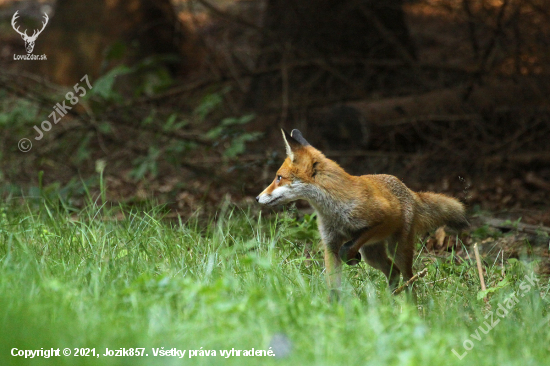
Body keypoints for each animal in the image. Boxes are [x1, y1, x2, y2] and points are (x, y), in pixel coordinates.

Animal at [258, 129, 470, 298]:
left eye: (279, 178)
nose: (258, 198)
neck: (333, 210)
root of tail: (408, 190)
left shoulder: (381, 220)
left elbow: (349, 247)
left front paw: (351, 257)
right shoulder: (330, 244)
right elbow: (333, 285)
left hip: (397, 249)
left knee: (409, 278)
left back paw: (411, 307)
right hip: (372, 254)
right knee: (393, 273)